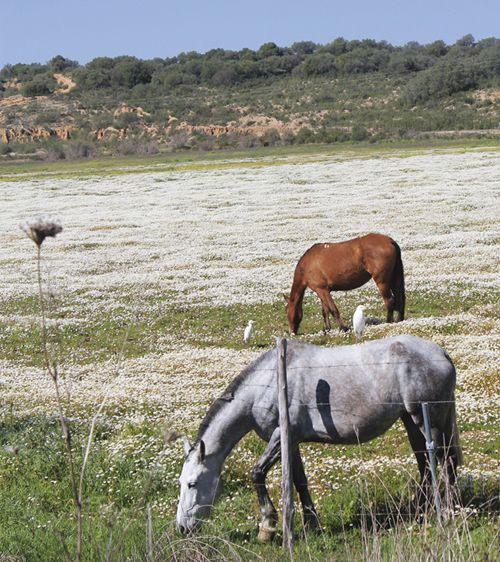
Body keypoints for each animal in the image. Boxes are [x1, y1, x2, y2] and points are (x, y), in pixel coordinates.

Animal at [176, 334, 460, 536]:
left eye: (192, 483)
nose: (181, 528)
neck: (268, 384)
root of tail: (441, 353)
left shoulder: (281, 437)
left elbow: (257, 473)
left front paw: (268, 524)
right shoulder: (291, 442)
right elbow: (300, 482)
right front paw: (311, 523)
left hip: (427, 422)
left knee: (444, 462)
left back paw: (447, 512)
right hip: (412, 421)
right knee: (426, 465)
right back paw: (420, 512)